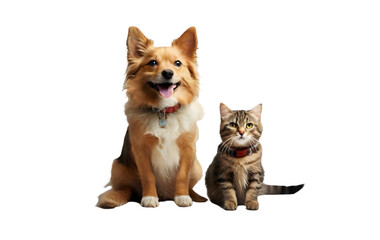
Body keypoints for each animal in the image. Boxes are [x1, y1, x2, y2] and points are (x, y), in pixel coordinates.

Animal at [96, 26, 206, 208]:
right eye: (152, 63)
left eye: (178, 63)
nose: (167, 73)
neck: (164, 110)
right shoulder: (141, 150)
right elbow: (148, 176)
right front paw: (149, 198)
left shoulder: (188, 149)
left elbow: (182, 176)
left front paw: (182, 196)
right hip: (117, 166)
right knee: (127, 189)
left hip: (197, 167)